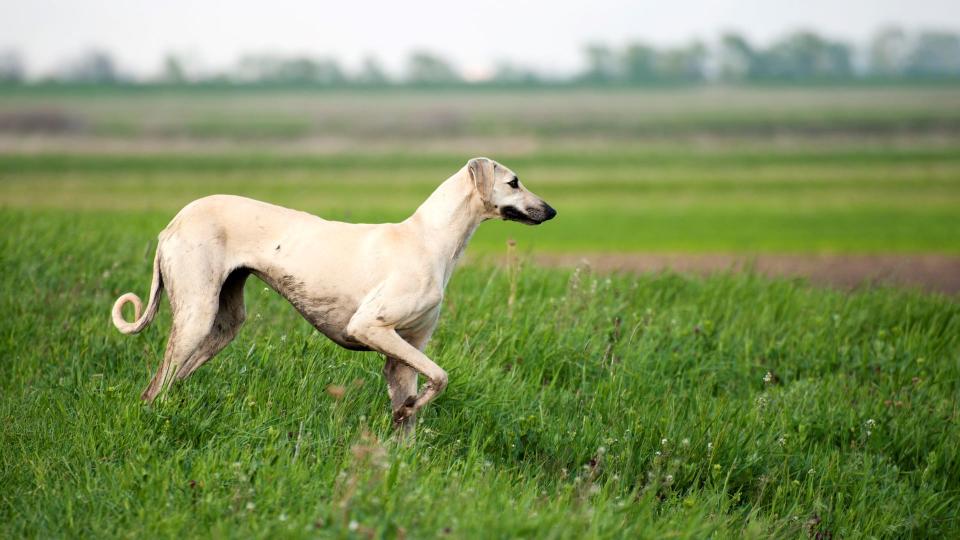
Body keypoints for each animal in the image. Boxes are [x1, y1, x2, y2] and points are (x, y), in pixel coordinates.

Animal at [113, 157, 560, 434]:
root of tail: (172, 224)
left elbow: (412, 410)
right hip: (196, 315)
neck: (429, 239)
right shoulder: (369, 327)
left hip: (223, 325)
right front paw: (412, 407)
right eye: (513, 182)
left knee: (170, 382)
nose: (552, 211)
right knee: (155, 388)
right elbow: (441, 376)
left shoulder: (403, 354)